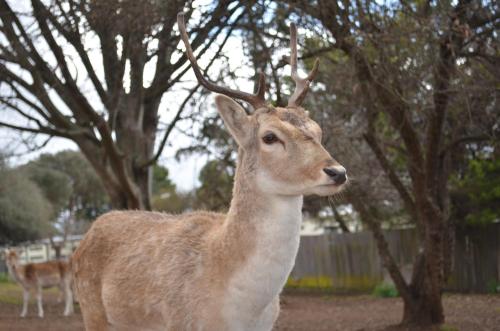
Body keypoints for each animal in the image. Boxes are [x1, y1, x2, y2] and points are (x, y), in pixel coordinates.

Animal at [71, 13, 348, 331]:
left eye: (318, 131)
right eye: (269, 137)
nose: (337, 172)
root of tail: (82, 242)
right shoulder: (180, 321)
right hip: (91, 310)